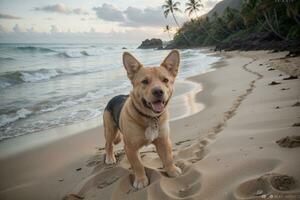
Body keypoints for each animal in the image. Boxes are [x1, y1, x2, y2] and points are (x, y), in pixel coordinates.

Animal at [103, 49, 182, 189]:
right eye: (145, 81)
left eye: (165, 80)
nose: (158, 91)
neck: (150, 117)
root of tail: (113, 98)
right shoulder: (130, 147)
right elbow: (138, 165)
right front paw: (140, 179)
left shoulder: (164, 141)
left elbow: (168, 158)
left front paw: (172, 170)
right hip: (110, 129)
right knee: (108, 144)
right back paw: (110, 157)